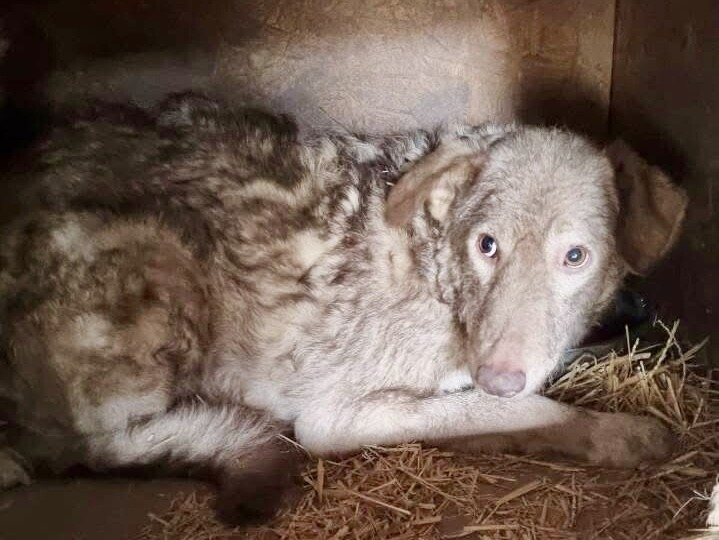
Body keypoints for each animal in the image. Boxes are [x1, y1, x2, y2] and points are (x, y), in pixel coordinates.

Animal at [0, 94, 687, 523]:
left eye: (575, 256)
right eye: (486, 245)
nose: (498, 374)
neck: (438, 270)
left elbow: (502, 405)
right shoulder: (334, 418)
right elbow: (510, 408)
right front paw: (621, 433)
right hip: (160, 253)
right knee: (104, 447)